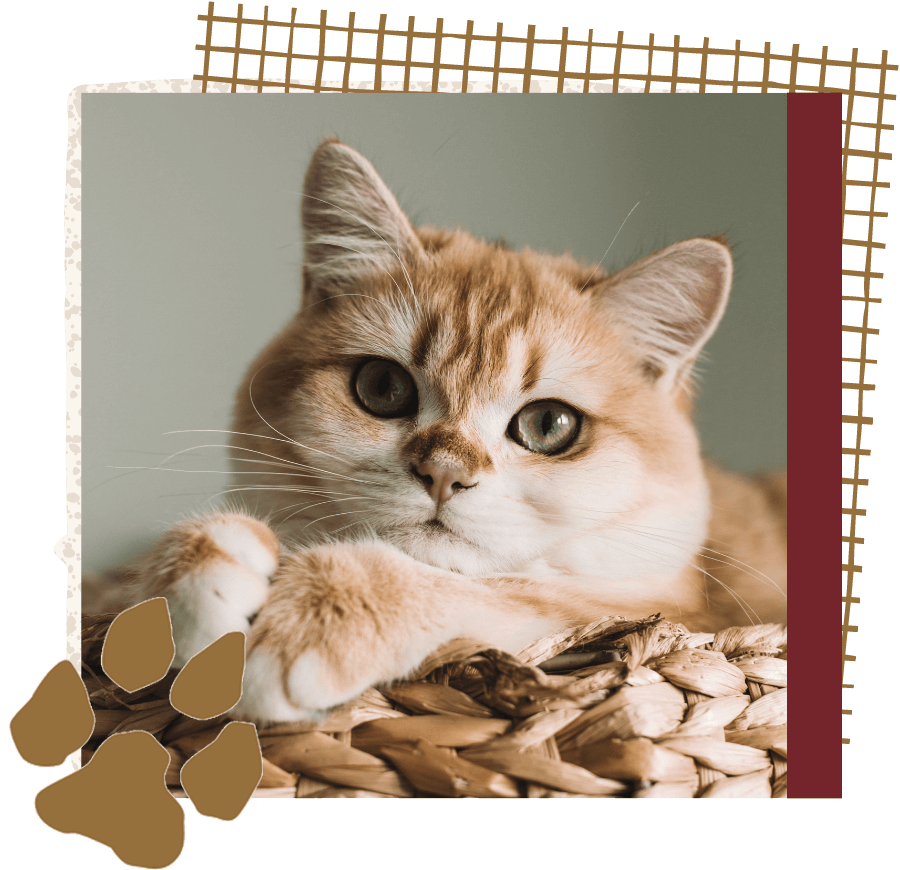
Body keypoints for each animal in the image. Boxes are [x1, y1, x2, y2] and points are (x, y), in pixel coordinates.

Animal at [88, 136, 784, 724]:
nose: (444, 472)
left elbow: (498, 591)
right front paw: (195, 565)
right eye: (381, 388)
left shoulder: (666, 613)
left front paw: (320, 612)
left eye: (549, 424)